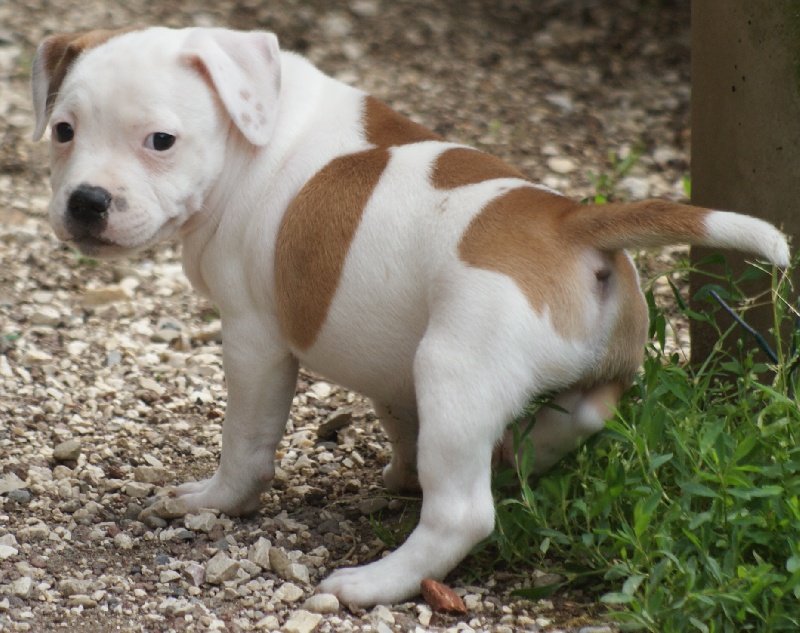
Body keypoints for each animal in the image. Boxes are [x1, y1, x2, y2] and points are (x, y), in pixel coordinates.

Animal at [31, 27, 790, 606]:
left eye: (161, 140)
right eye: (63, 132)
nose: (88, 201)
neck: (258, 128)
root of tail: (572, 222)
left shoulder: (253, 339)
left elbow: (245, 442)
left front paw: (215, 499)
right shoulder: (389, 362)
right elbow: (399, 414)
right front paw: (401, 472)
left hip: (454, 367)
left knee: (462, 513)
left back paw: (375, 581)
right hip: (580, 369)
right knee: (580, 415)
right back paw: (523, 452)